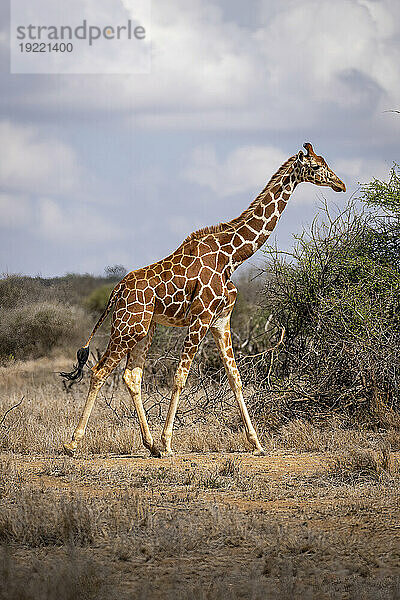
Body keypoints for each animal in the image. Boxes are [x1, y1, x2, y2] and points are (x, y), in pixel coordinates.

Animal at [61, 143, 346, 458]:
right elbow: (180, 377)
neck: (231, 256)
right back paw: (73, 443)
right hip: (128, 327)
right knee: (99, 372)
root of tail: (116, 290)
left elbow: (235, 378)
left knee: (131, 376)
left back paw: (149, 445)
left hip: (144, 329)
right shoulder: (202, 317)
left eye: (325, 162)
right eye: (317, 166)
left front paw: (257, 443)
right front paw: (169, 443)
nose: (340, 184)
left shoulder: (221, 319)